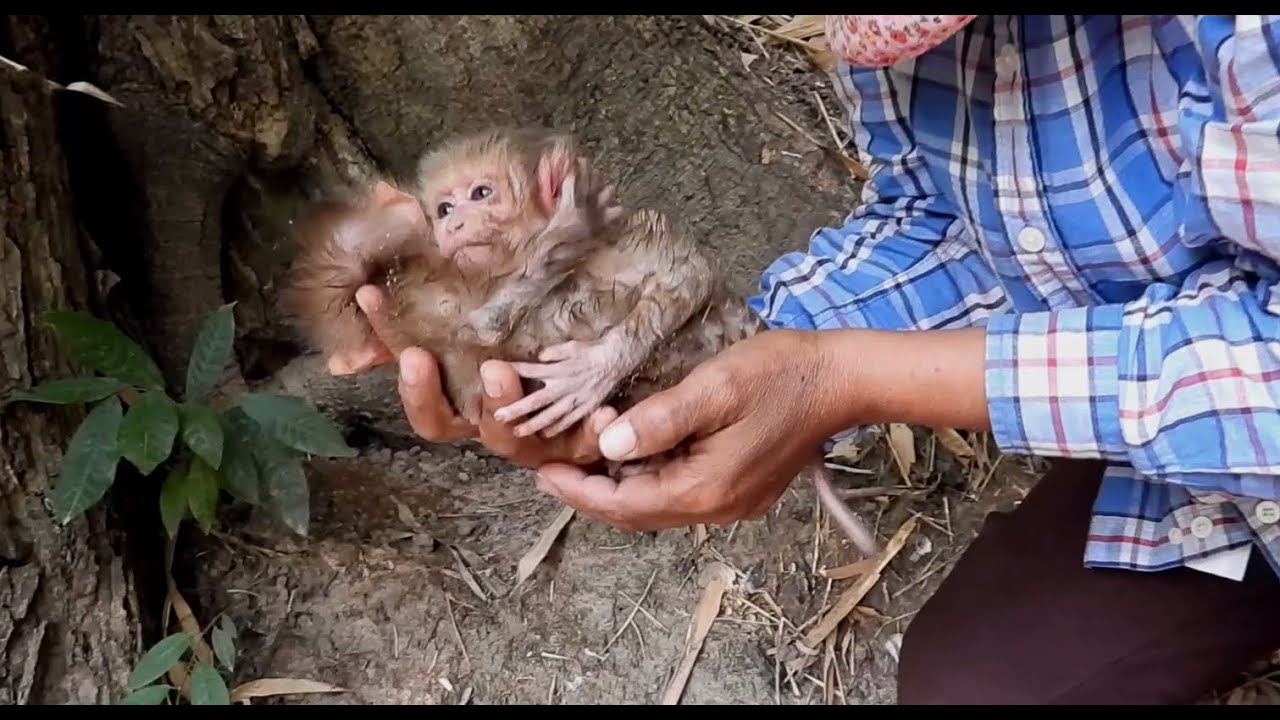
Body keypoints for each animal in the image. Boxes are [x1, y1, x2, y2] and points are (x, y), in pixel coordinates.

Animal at [279, 127, 882, 558]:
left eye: (480, 193)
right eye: (444, 208)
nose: (451, 225)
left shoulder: (639, 243)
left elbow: (685, 278)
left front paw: (592, 369)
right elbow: (488, 327)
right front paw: (566, 229)